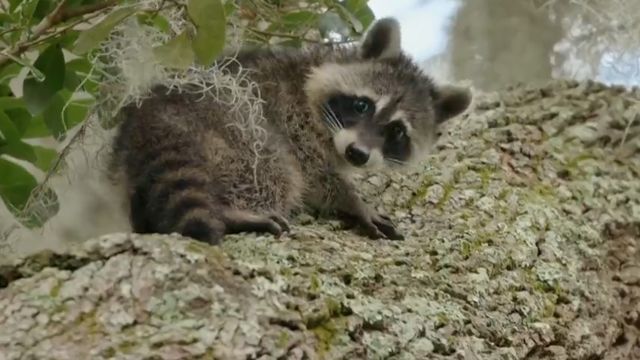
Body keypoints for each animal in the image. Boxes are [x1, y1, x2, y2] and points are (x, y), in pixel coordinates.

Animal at [110, 18, 472, 246]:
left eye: (397, 131)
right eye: (362, 106)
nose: (357, 154)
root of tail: (150, 118)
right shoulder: (292, 114)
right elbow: (313, 173)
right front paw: (353, 201)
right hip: (234, 123)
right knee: (275, 167)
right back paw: (236, 211)